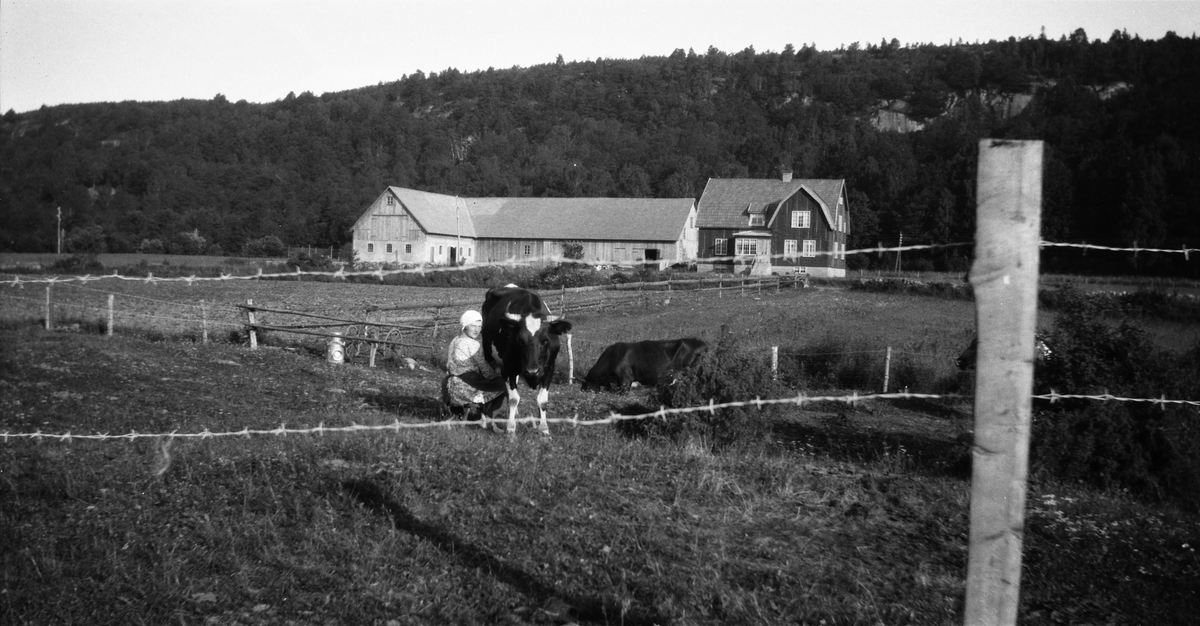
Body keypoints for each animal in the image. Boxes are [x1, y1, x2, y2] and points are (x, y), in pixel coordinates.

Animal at [477, 285, 571, 436]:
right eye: (520, 340)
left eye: (546, 340)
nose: (532, 371)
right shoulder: (509, 367)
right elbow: (513, 398)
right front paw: (511, 428)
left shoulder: (549, 368)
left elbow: (542, 401)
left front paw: (544, 428)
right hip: (493, 360)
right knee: (508, 390)